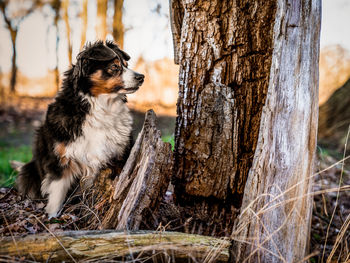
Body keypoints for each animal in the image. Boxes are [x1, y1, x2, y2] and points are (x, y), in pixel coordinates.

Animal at [15, 40, 144, 219]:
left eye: (126, 65)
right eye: (114, 67)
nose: (142, 77)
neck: (100, 108)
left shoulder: (120, 157)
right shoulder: (60, 161)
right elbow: (57, 194)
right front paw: (52, 218)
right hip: (28, 170)